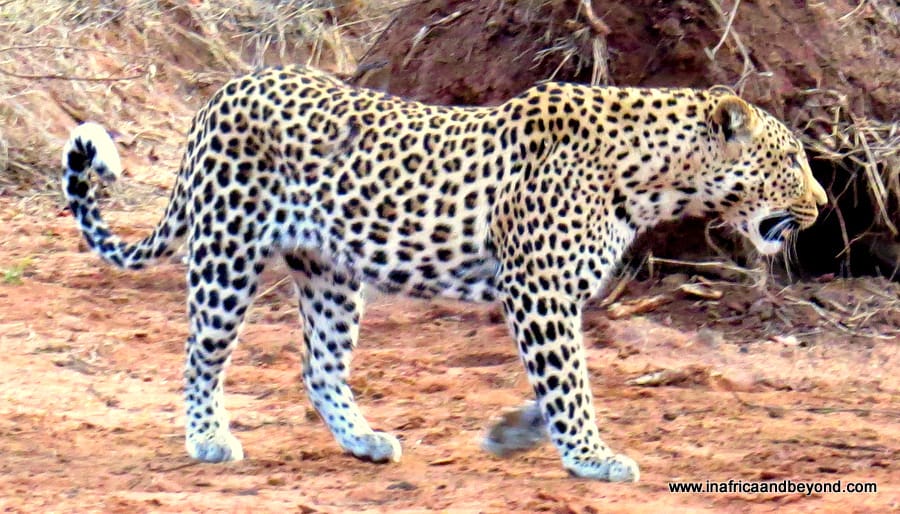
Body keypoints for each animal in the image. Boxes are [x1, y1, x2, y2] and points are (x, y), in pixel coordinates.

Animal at [61, 64, 827, 482]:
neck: (654, 177)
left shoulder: (557, 296)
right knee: (201, 355)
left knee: (319, 366)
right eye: (791, 159)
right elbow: (570, 383)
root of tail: (226, 89)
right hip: (228, 253)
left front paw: (516, 432)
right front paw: (590, 456)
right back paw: (208, 439)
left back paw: (364, 441)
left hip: (332, 273)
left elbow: (563, 380)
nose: (820, 205)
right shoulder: (538, 290)